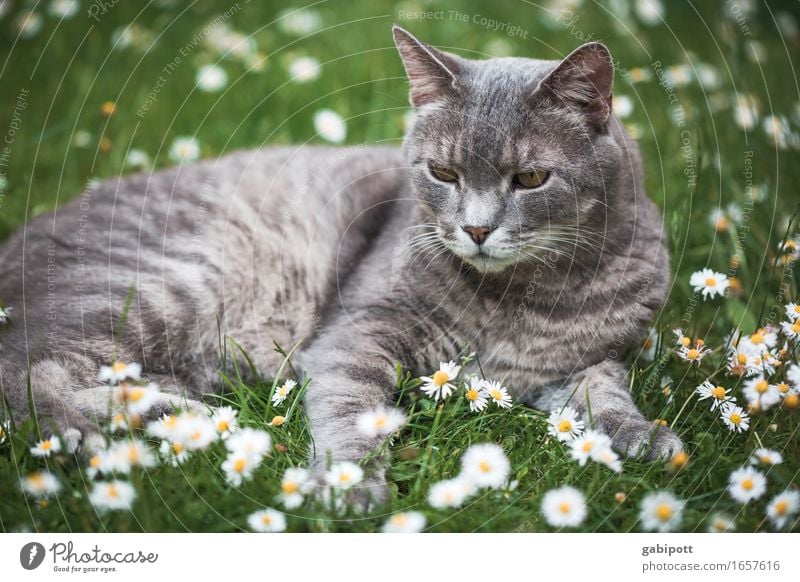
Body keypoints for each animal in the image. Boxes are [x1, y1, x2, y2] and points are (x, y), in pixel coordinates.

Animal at [0, 26, 680, 502]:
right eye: (443, 172)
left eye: (532, 178)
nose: (477, 229)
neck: (526, 295)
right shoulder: (356, 334)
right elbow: (352, 408)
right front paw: (350, 485)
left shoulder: (588, 359)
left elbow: (604, 392)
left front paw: (645, 436)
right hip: (169, 283)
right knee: (28, 372)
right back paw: (93, 431)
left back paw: (175, 411)